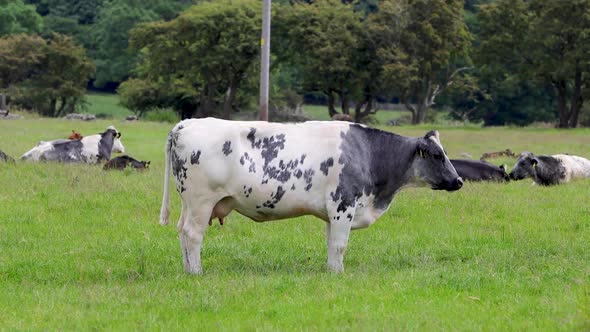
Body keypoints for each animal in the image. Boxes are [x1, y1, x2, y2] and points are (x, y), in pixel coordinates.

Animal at [160, 118, 464, 274]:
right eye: (437, 155)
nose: (459, 180)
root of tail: (187, 124)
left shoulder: (334, 212)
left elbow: (331, 245)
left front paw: (331, 272)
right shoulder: (344, 204)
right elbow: (340, 245)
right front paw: (339, 274)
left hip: (189, 203)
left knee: (181, 232)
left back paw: (187, 269)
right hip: (201, 202)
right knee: (193, 235)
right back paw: (197, 272)